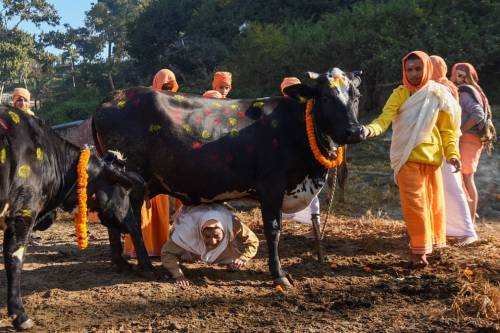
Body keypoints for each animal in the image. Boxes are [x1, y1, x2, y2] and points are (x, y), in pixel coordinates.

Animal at [92, 67, 364, 286]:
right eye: (326, 97)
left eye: (356, 96)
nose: (354, 131)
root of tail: (112, 98)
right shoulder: (271, 187)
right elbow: (273, 231)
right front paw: (279, 275)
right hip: (133, 183)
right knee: (131, 222)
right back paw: (146, 267)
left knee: (114, 220)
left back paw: (121, 263)